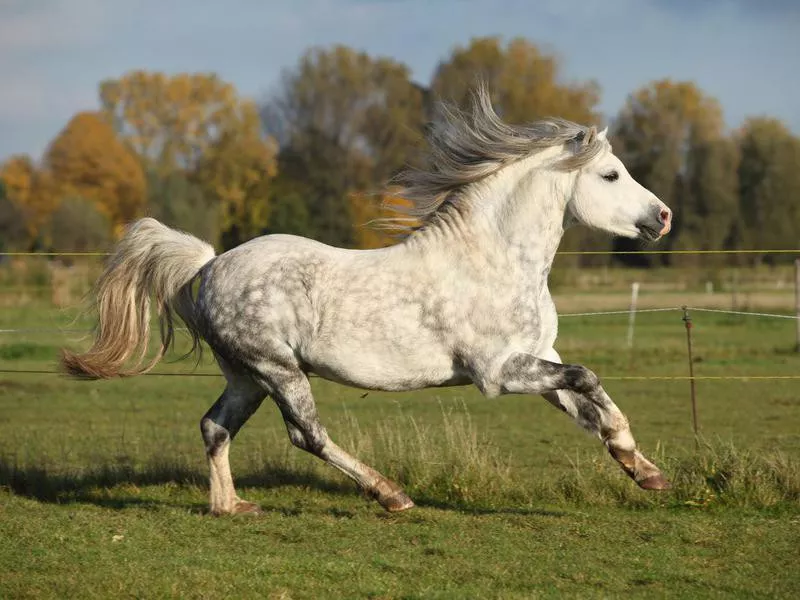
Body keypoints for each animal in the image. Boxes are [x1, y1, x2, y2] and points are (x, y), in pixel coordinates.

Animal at [64, 89, 676, 516]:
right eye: (611, 174)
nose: (663, 217)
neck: (492, 258)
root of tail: (210, 264)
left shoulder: (535, 360)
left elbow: (590, 402)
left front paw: (643, 469)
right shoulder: (498, 373)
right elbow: (588, 378)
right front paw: (638, 461)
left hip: (246, 376)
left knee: (215, 427)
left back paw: (231, 506)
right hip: (278, 369)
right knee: (306, 435)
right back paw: (391, 495)